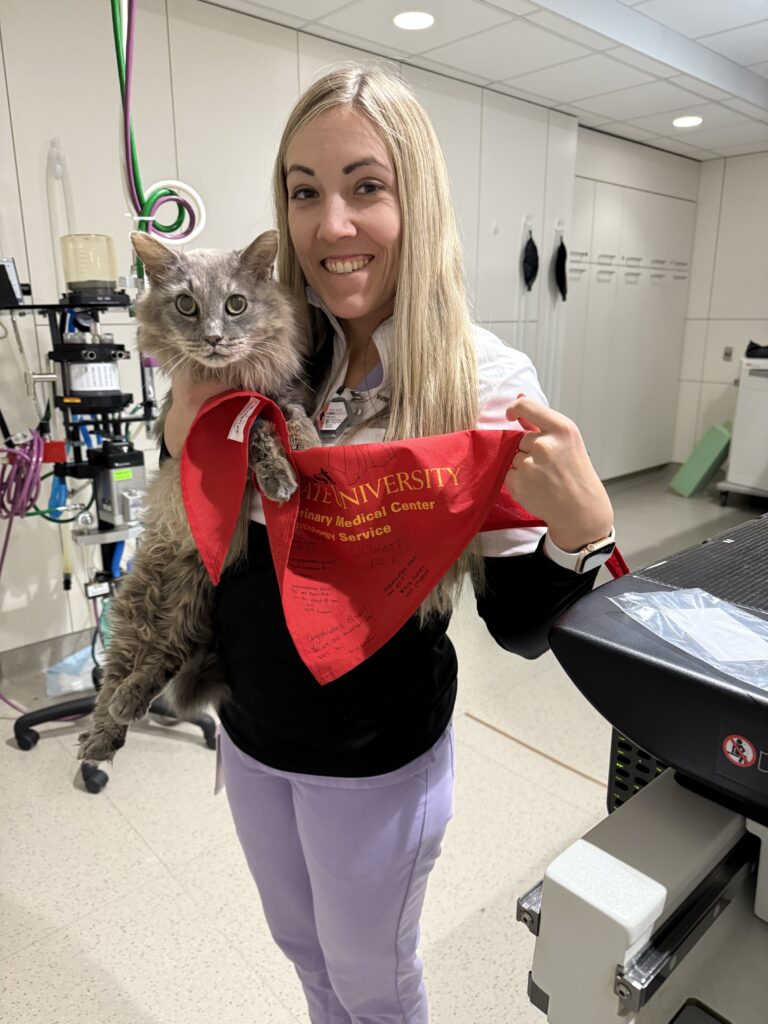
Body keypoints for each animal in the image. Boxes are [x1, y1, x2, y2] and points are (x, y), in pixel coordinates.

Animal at [77, 230, 319, 761]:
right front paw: (280, 473)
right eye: (186, 305)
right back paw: (101, 736)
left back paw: (121, 716)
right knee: (116, 675)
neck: (228, 379)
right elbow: (259, 434)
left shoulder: (281, 389)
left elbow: (288, 417)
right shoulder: (221, 419)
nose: (212, 337)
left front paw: (306, 446)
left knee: (162, 659)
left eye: (236, 304)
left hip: (192, 603)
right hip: (142, 602)